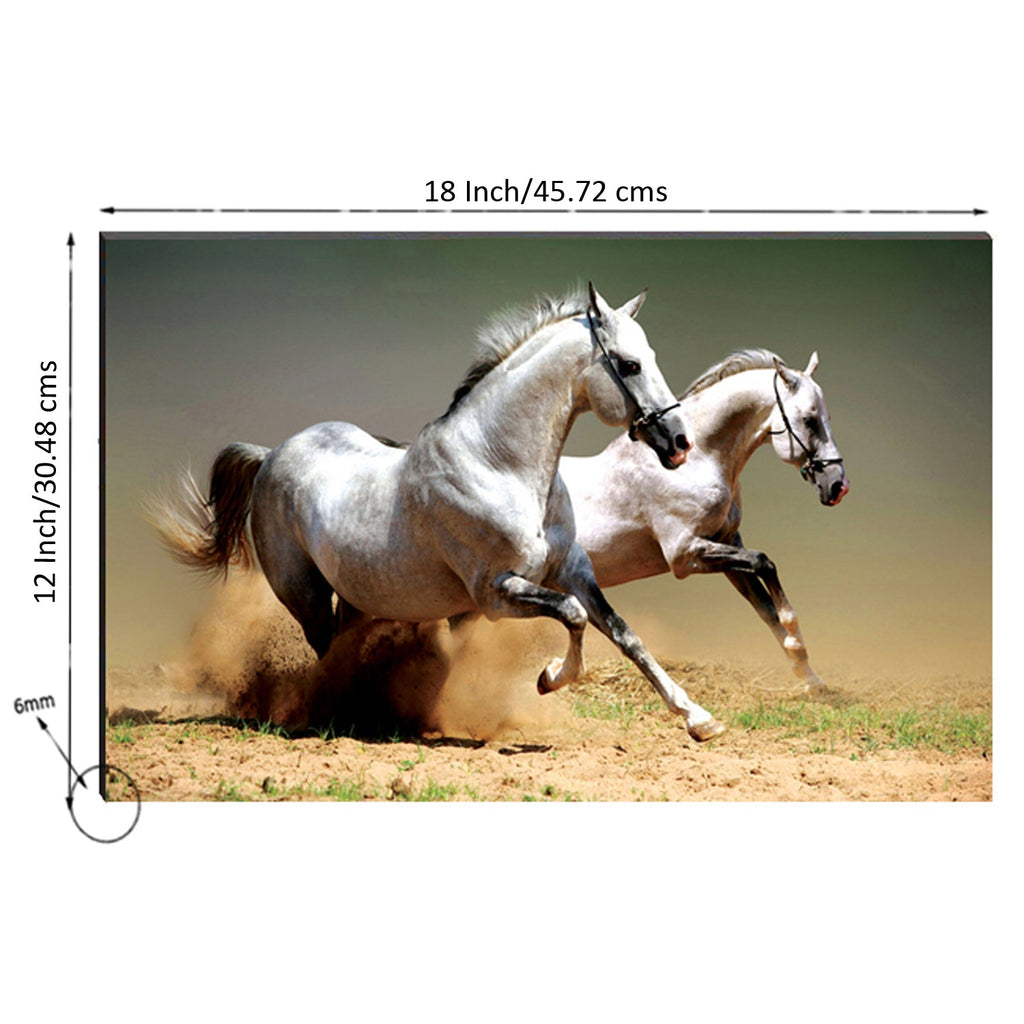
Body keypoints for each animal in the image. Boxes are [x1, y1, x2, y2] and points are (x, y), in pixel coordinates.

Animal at [152, 284, 728, 741]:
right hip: (305, 595)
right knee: (324, 653)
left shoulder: (572, 570)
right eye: (629, 364)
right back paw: (337, 714)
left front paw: (699, 719)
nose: (679, 443)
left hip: (359, 596)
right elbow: (574, 616)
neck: (499, 464)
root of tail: (271, 454)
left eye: (649, 355)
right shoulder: (496, 593)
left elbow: (624, 633)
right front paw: (548, 678)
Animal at [558, 349, 849, 693]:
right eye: (809, 420)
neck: (696, 461)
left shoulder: (725, 544)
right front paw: (795, 638)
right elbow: (764, 563)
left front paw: (810, 678)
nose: (838, 486)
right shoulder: (685, 555)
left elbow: (765, 607)